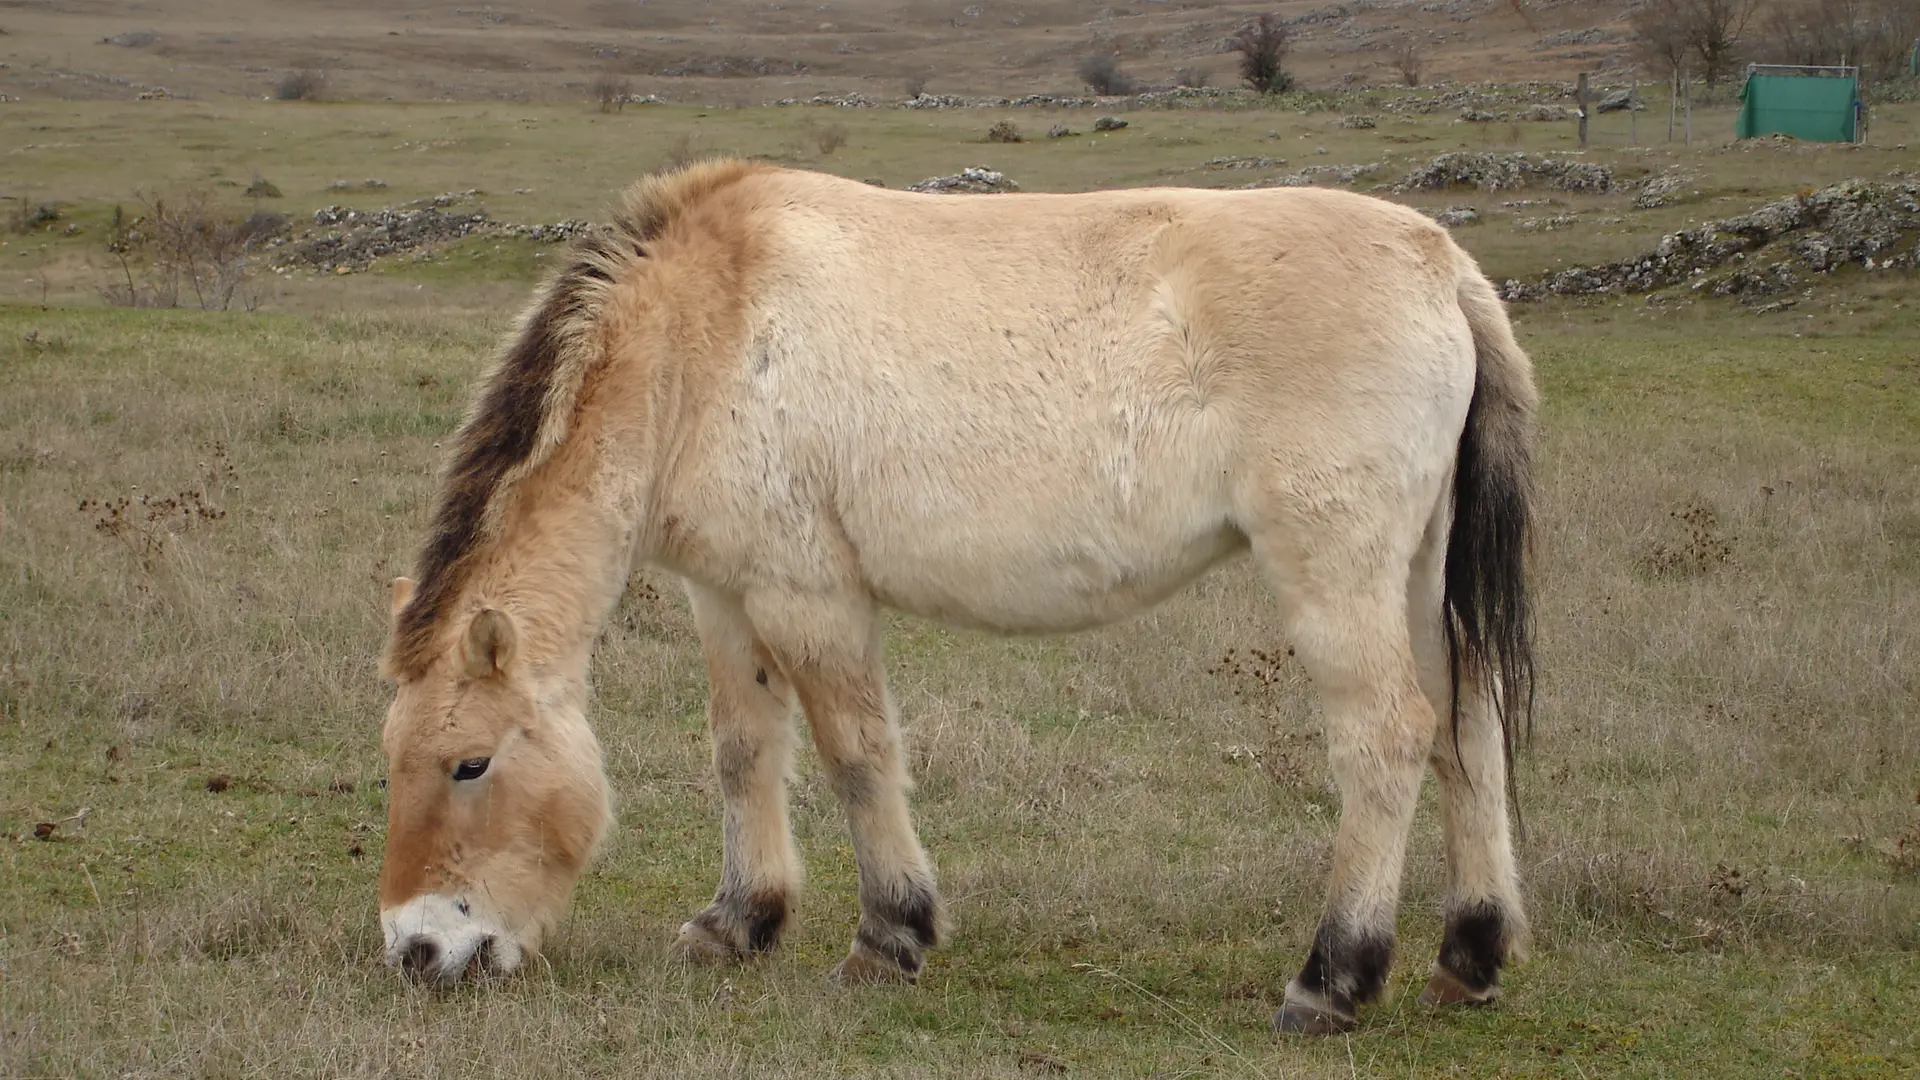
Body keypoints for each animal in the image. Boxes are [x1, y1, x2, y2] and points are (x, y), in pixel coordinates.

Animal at [375, 160, 1536, 1034]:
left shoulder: (810, 597)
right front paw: (737, 923)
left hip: (1337, 575)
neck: (705, 332)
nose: (418, 948)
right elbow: (744, 750)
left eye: (470, 763)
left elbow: (855, 755)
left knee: (1387, 737)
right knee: (1466, 728)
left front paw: (889, 937)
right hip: (1420, 578)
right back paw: (1469, 958)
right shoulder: (727, 595)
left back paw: (1330, 981)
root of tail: (1442, 268)